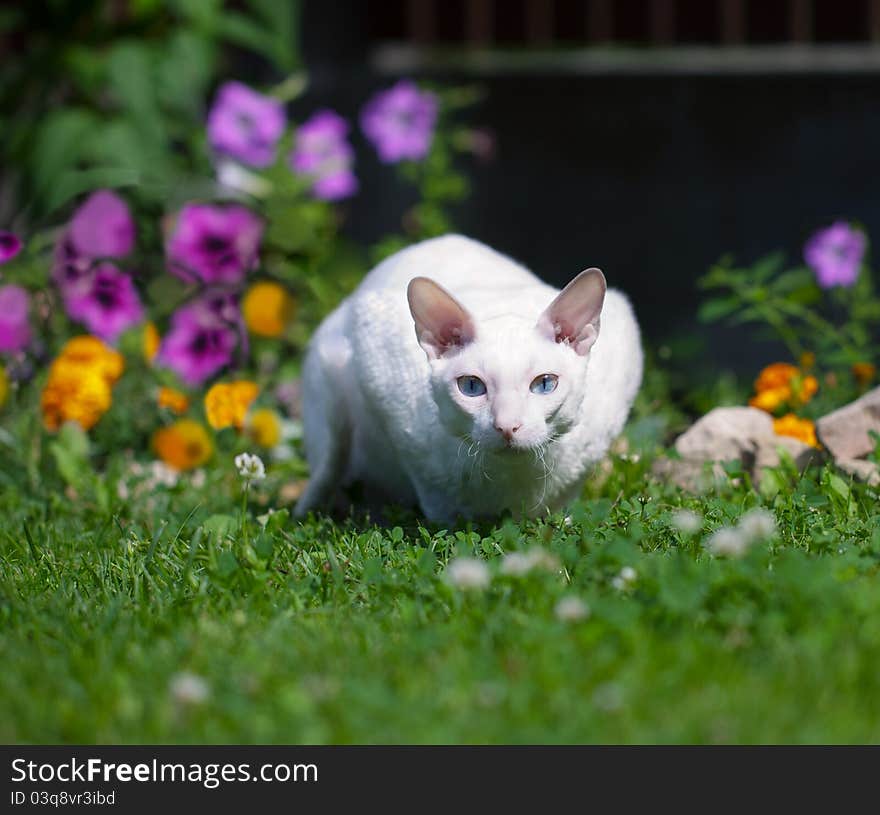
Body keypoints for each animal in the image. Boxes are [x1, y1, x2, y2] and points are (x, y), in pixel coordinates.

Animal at [292, 233, 644, 520]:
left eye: (545, 384)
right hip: (329, 364)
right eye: (472, 386)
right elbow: (435, 497)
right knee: (327, 468)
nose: (507, 426)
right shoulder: (375, 352)